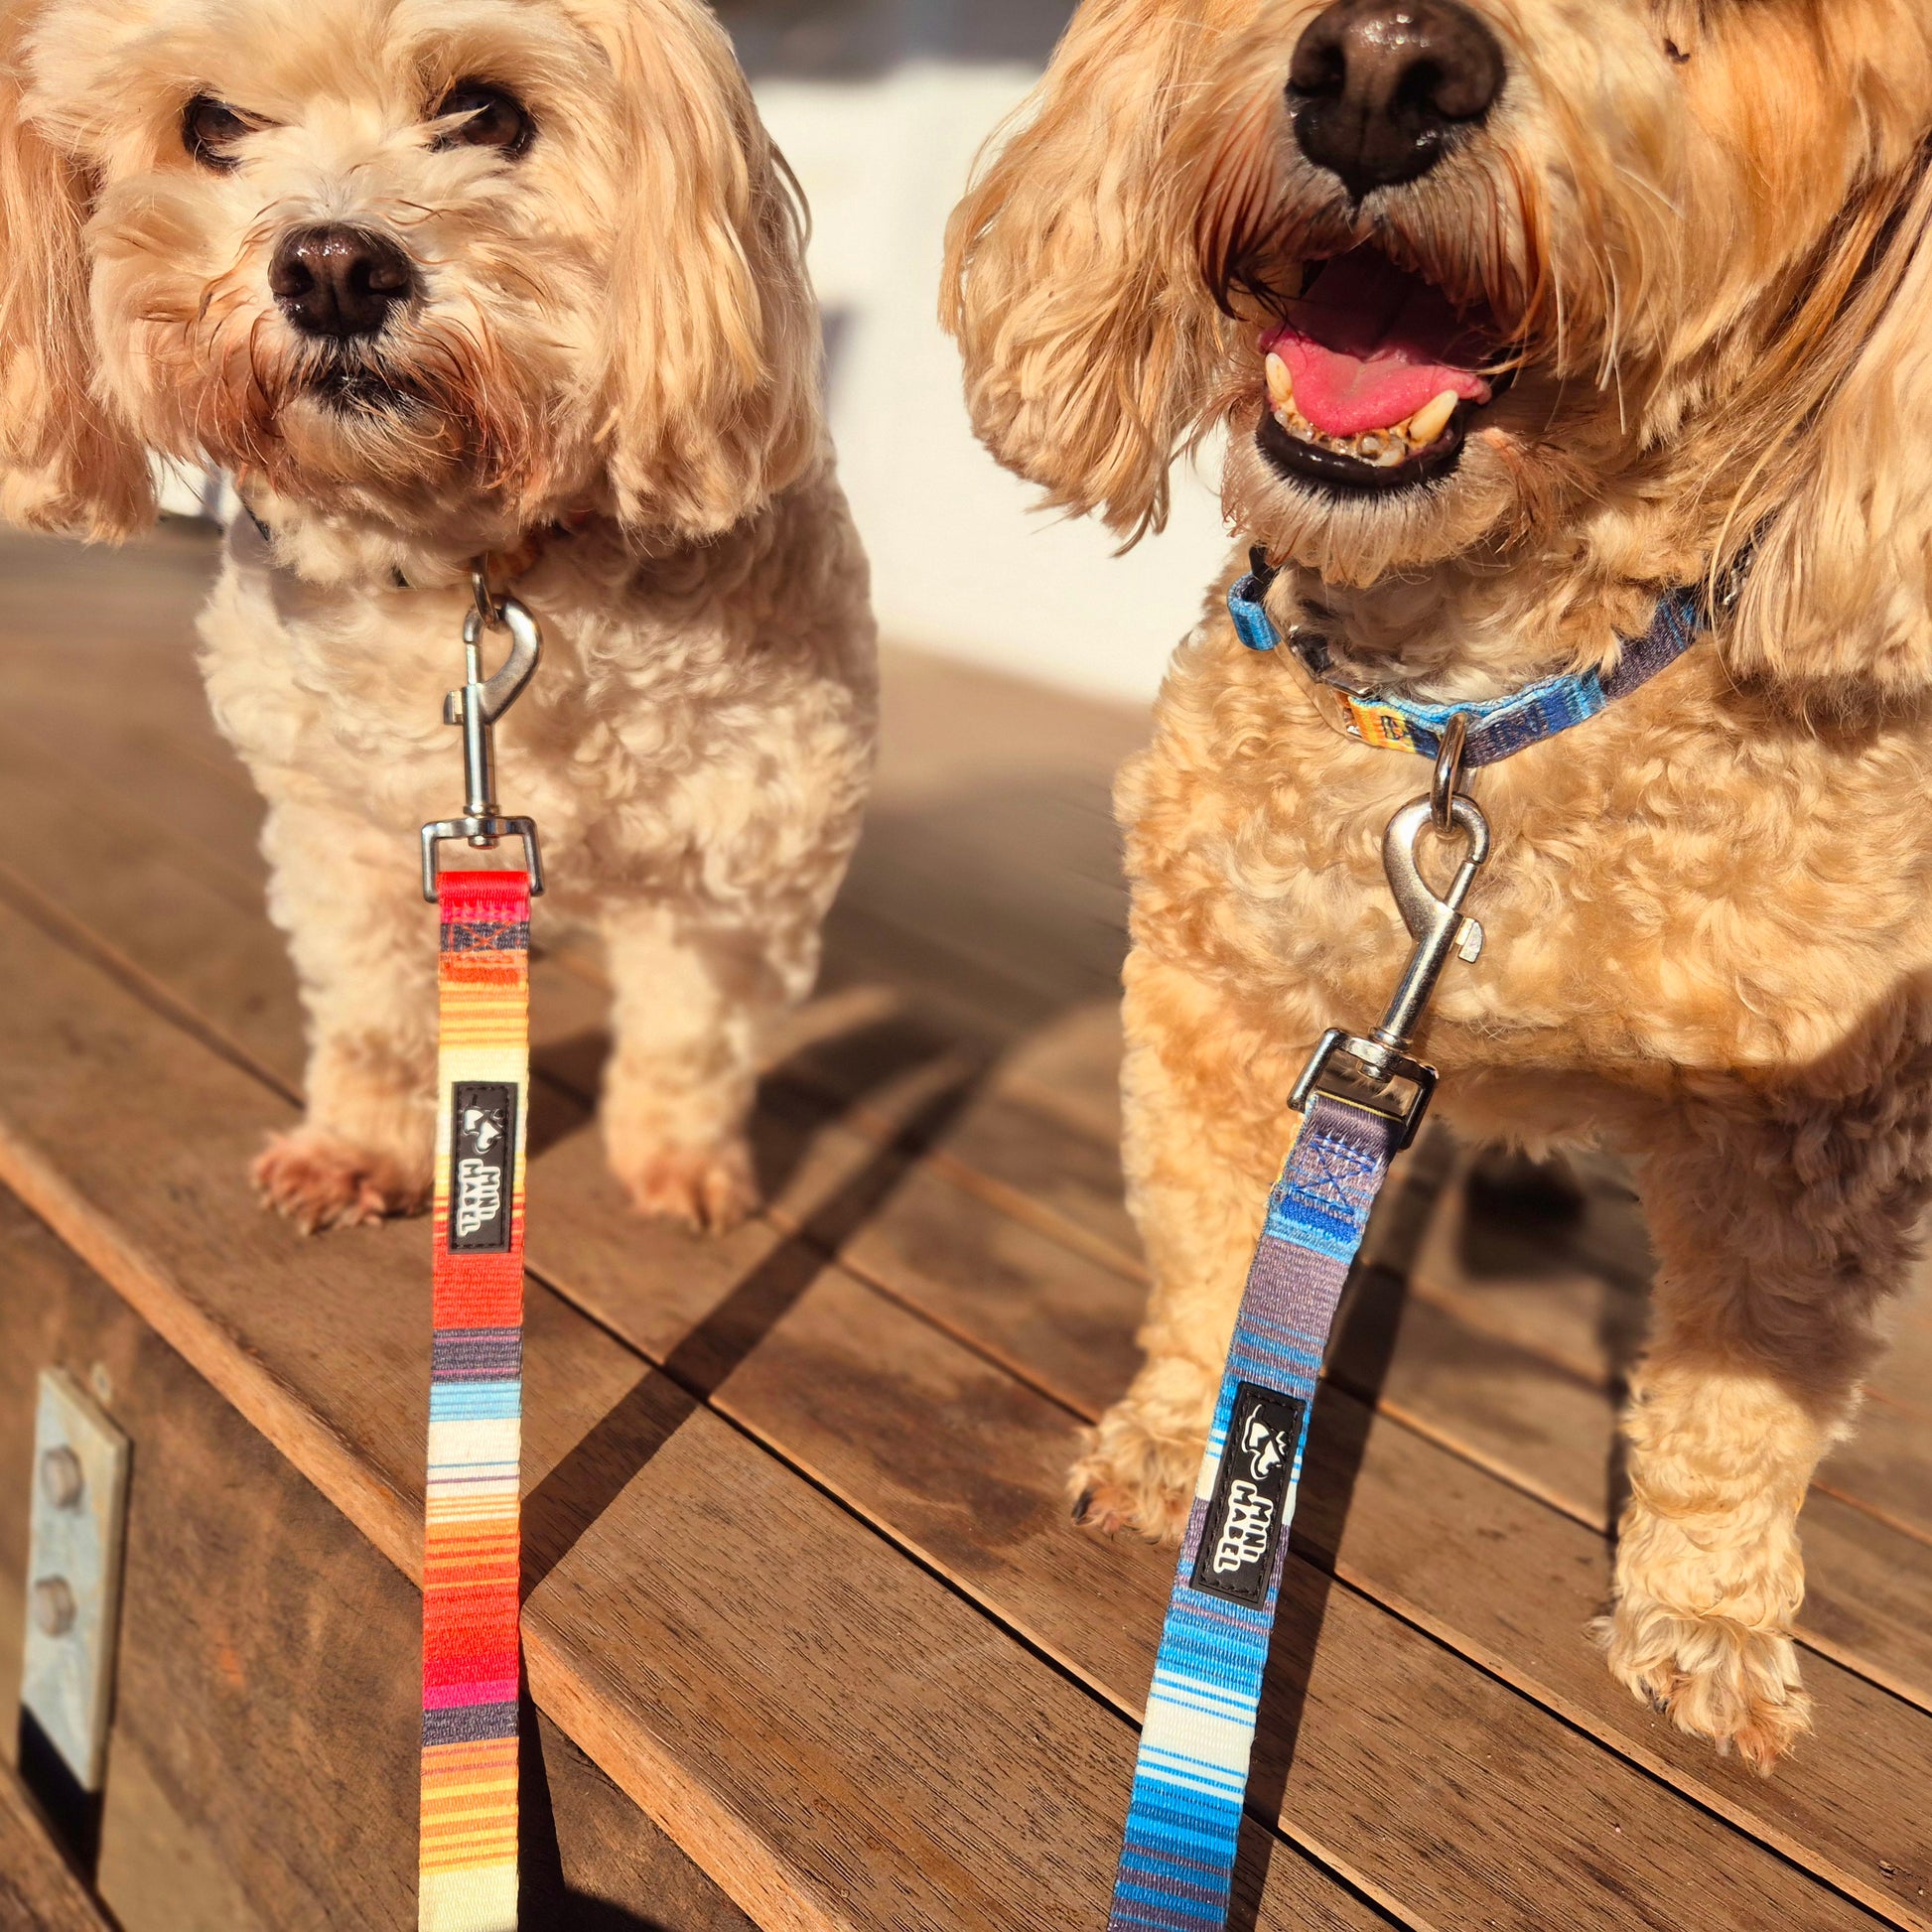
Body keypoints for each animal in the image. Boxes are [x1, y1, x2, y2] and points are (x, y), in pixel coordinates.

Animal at [0, 0, 877, 1236]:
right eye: (210, 123)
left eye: (488, 112)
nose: (333, 267)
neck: (478, 560)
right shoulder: (347, 832)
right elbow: (374, 1013)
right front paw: (360, 1147)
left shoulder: (743, 848)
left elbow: (689, 1034)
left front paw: (681, 1163)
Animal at [938, 0, 1932, 1769]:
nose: (1384, 65)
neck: (1476, 704)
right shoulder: (1220, 987)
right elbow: (1214, 1245)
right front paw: (1179, 1440)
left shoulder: (1817, 1117)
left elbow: (1748, 1390)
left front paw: (1707, 1615)